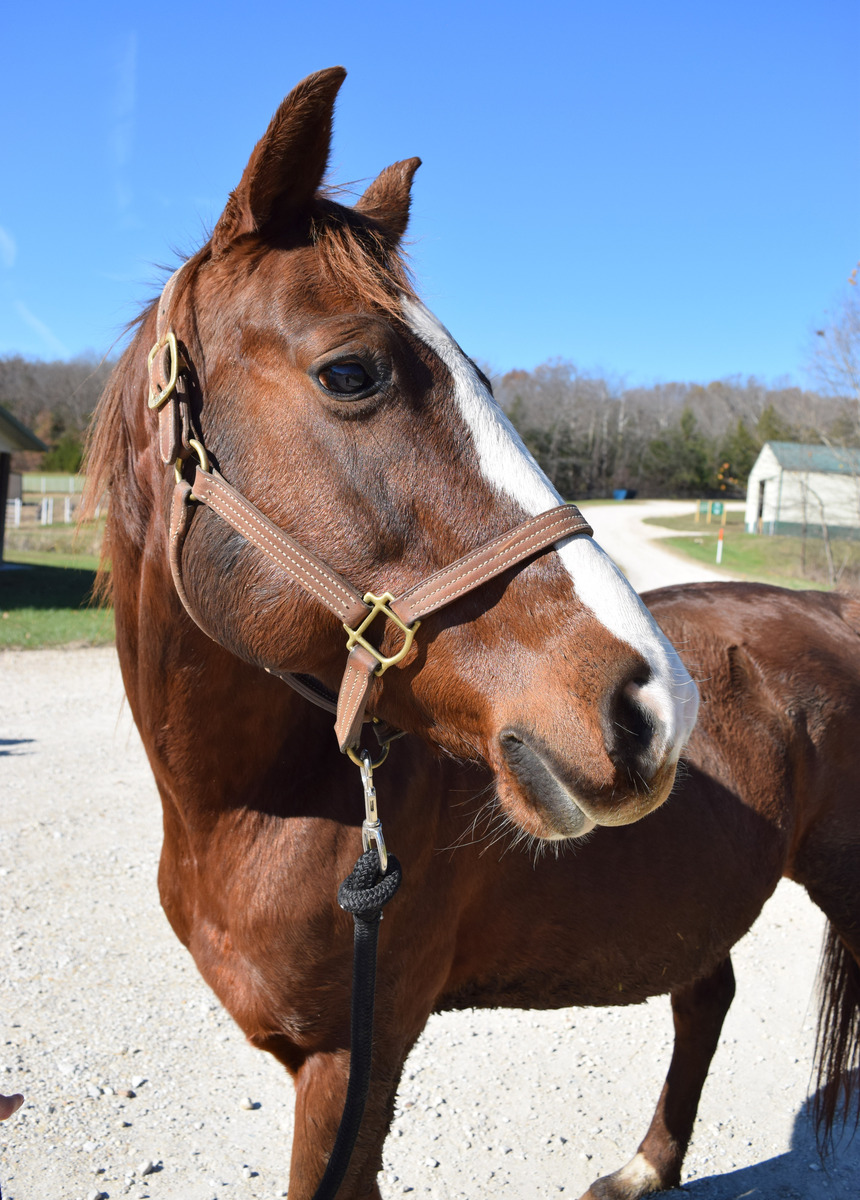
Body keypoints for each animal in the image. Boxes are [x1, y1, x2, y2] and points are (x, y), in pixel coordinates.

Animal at [82, 66, 857, 1198]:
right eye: (351, 373)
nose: (653, 706)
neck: (245, 814)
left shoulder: (353, 1064)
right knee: (703, 994)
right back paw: (648, 1165)